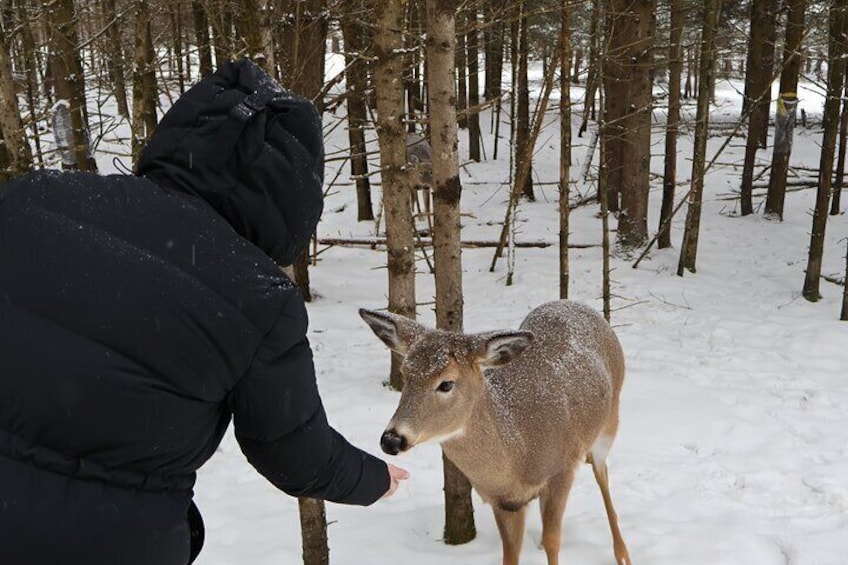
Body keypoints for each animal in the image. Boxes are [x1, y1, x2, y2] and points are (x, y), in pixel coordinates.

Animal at [362, 300, 632, 564]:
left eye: (446, 383)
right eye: (405, 375)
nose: (391, 440)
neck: (519, 452)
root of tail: (576, 304)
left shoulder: (562, 470)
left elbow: (554, 543)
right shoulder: (504, 502)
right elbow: (510, 554)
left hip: (610, 420)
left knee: (602, 473)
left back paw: (622, 553)